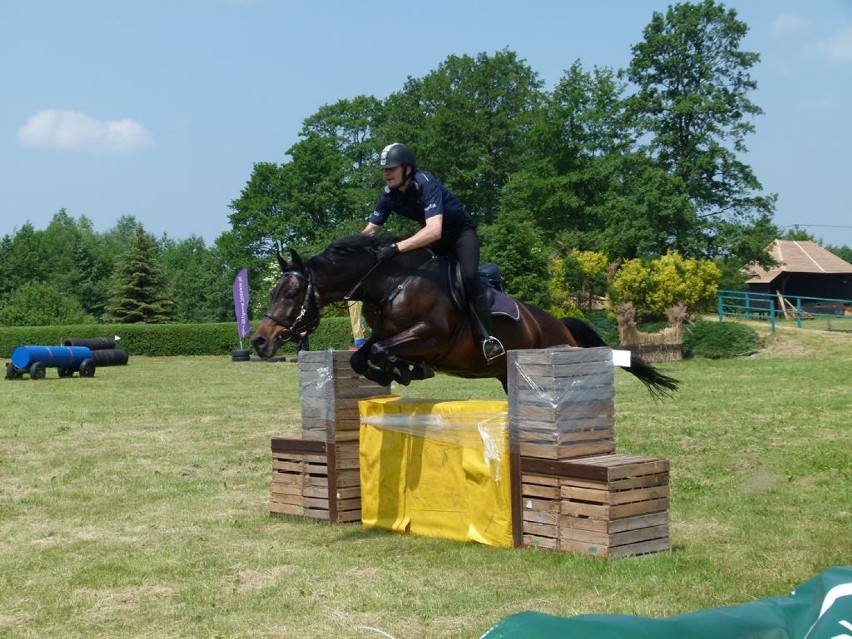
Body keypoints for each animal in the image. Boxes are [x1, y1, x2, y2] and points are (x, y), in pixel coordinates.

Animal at [248, 232, 680, 398]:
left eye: (291, 293)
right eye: (271, 292)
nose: (259, 340)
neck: (391, 283)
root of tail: (562, 326)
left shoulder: (430, 336)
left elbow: (383, 351)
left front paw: (402, 370)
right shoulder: (382, 334)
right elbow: (361, 356)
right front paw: (395, 372)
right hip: (507, 376)